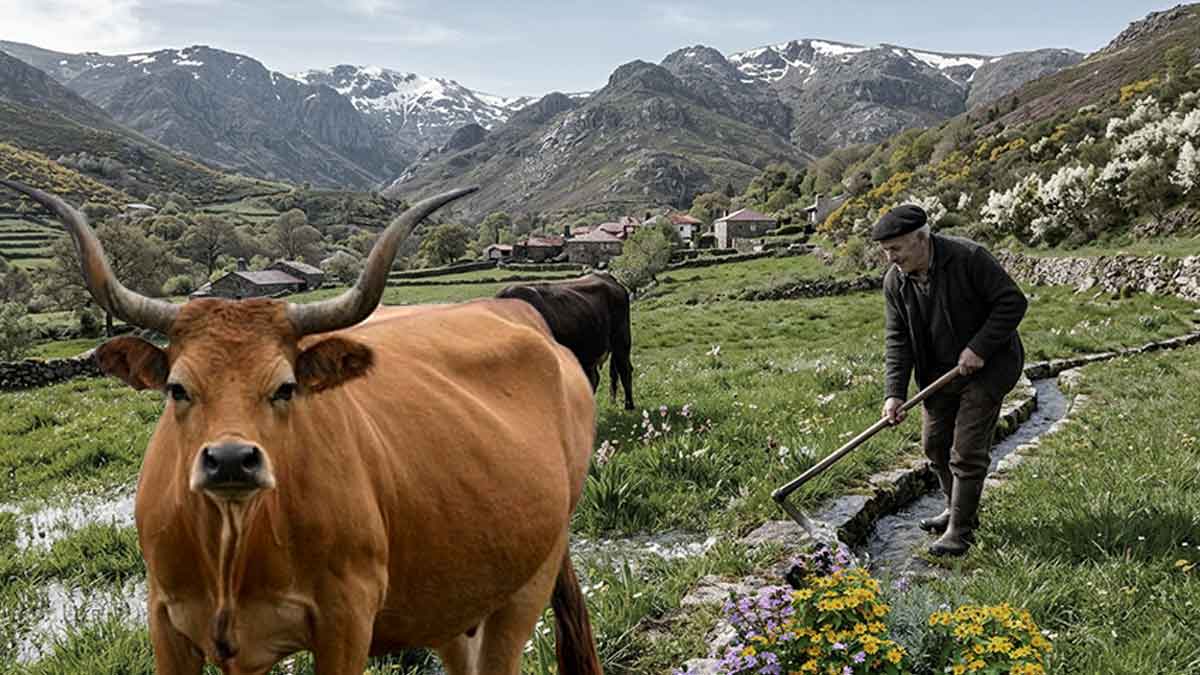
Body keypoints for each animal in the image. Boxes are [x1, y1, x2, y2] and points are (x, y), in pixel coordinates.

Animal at [1, 180, 602, 675]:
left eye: (285, 387)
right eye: (177, 388)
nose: (230, 460)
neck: (232, 544)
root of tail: (522, 318)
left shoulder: (347, 620)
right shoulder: (171, 624)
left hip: (528, 581)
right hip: (455, 593)